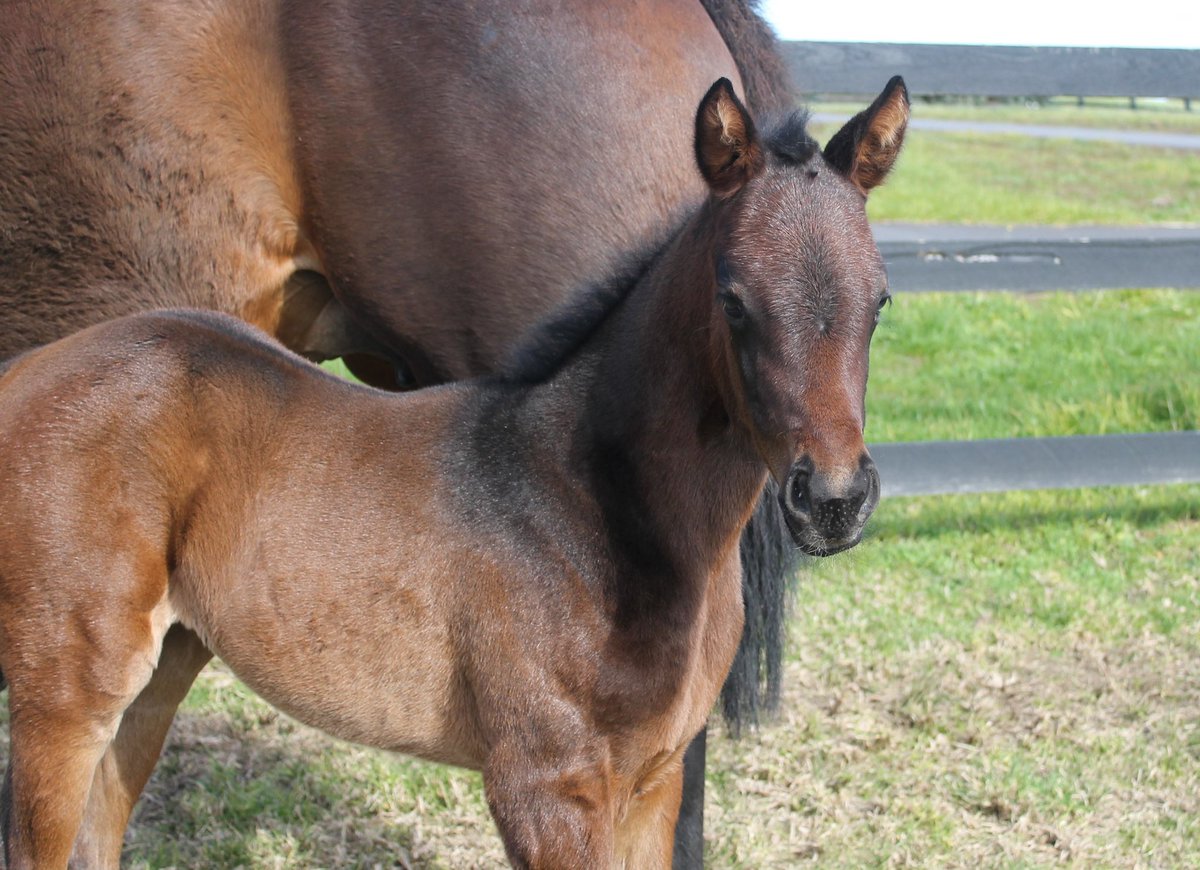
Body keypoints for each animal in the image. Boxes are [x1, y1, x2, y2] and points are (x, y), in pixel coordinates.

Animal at [0, 77, 908, 868]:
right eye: (733, 299)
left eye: (880, 300)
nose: (832, 500)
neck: (594, 509)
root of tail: (26, 373)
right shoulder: (546, 789)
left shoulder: (654, 783)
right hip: (65, 693)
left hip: (161, 668)